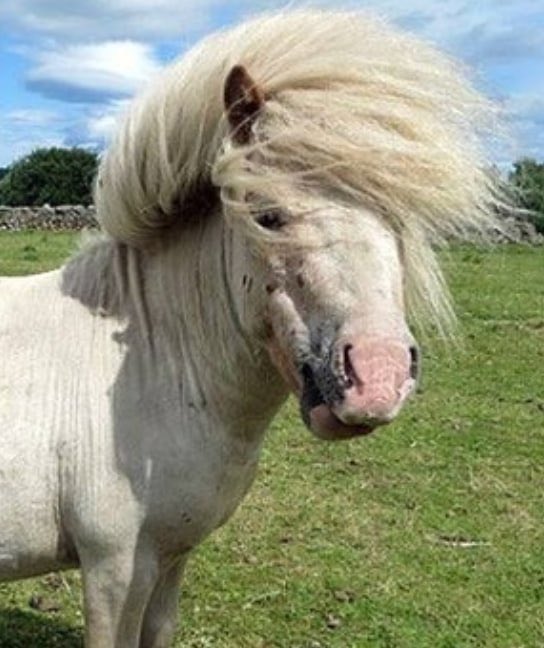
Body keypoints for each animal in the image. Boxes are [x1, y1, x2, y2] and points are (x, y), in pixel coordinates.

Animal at [0, 10, 503, 647]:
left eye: (397, 217)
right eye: (268, 216)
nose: (378, 378)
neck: (153, 368)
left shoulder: (170, 557)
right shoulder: (113, 569)